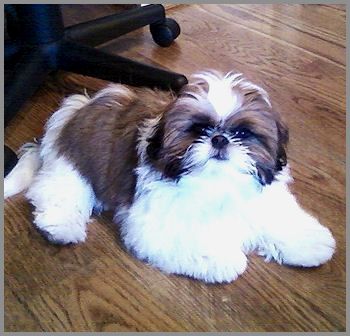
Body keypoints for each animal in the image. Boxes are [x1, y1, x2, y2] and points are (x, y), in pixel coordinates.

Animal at [4, 71, 334, 284]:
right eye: (198, 130)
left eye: (242, 133)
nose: (219, 139)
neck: (217, 183)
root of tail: (80, 107)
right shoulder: (155, 221)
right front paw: (222, 259)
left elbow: (277, 215)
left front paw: (309, 241)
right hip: (74, 161)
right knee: (59, 191)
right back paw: (62, 227)